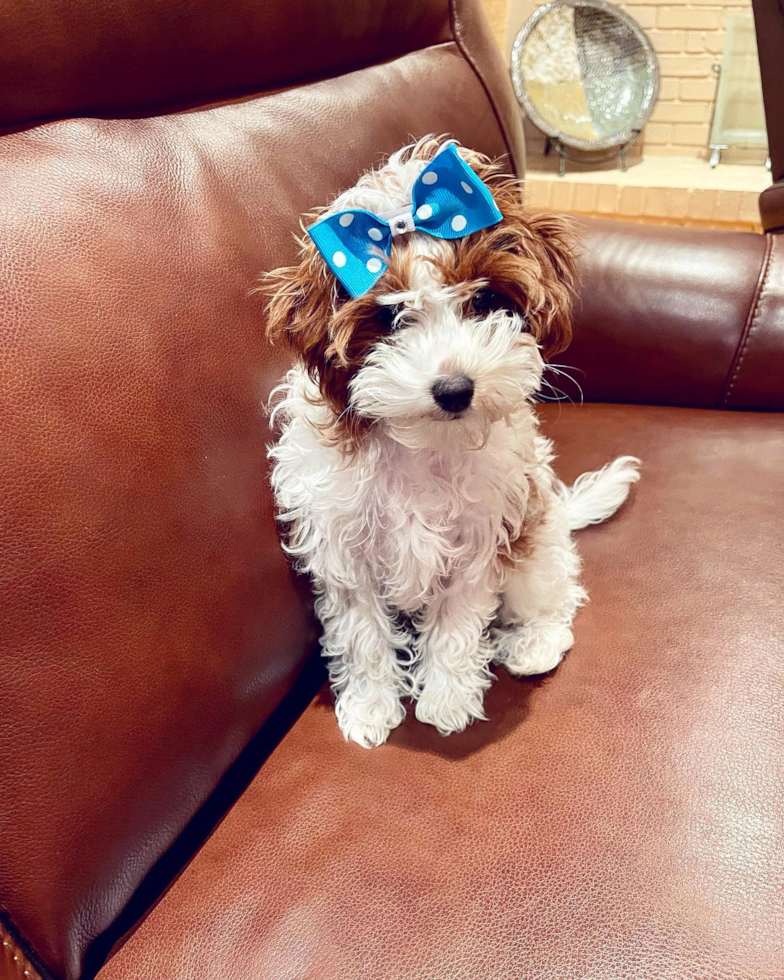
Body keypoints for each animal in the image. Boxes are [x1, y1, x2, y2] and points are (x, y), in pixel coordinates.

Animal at [264, 136, 636, 752]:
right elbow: (362, 630)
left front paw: (446, 700)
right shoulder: (343, 542)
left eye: (482, 301)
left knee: (556, 595)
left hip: (535, 539)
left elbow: (458, 623)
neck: (422, 444)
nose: (455, 389)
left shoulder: (482, 536)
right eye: (391, 315)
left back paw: (533, 643)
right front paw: (370, 707)